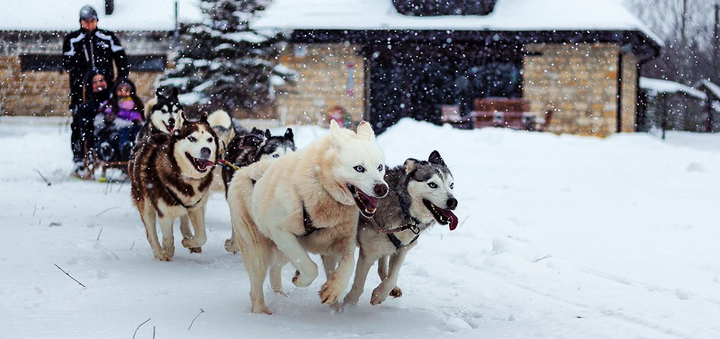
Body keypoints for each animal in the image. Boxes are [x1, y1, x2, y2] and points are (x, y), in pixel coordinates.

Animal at [129, 115, 218, 262]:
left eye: (209, 139)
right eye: (192, 138)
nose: (206, 150)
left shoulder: (197, 208)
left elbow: (202, 237)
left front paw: (188, 242)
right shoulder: (164, 214)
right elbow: (168, 240)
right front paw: (166, 252)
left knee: (183, 221)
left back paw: (188, 238)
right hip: (146, 205)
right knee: (150, 232)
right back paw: (159, 252)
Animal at [229, 121, 388, 314]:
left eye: (380, 167)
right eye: (359, 168)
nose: (382, 188)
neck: (321, 188)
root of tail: (244, 170)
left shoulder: (341, 241)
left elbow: (348, 263)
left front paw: (333, 291)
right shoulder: (280, 231)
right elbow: (311, 268)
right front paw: (301, 279)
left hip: (281, 252)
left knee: (275, 269)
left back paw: (280, 295)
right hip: (257, 250)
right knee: (256, 284)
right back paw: (261, 311)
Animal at [344, 151, 458, 306]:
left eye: (451, 185)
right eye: (432, 184)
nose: (453, 202)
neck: (404, 208)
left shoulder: (403, 248)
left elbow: (393, 276)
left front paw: (381, 293)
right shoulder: (369, 252)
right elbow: (358, 284)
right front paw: (348, 304)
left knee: (382, 267)